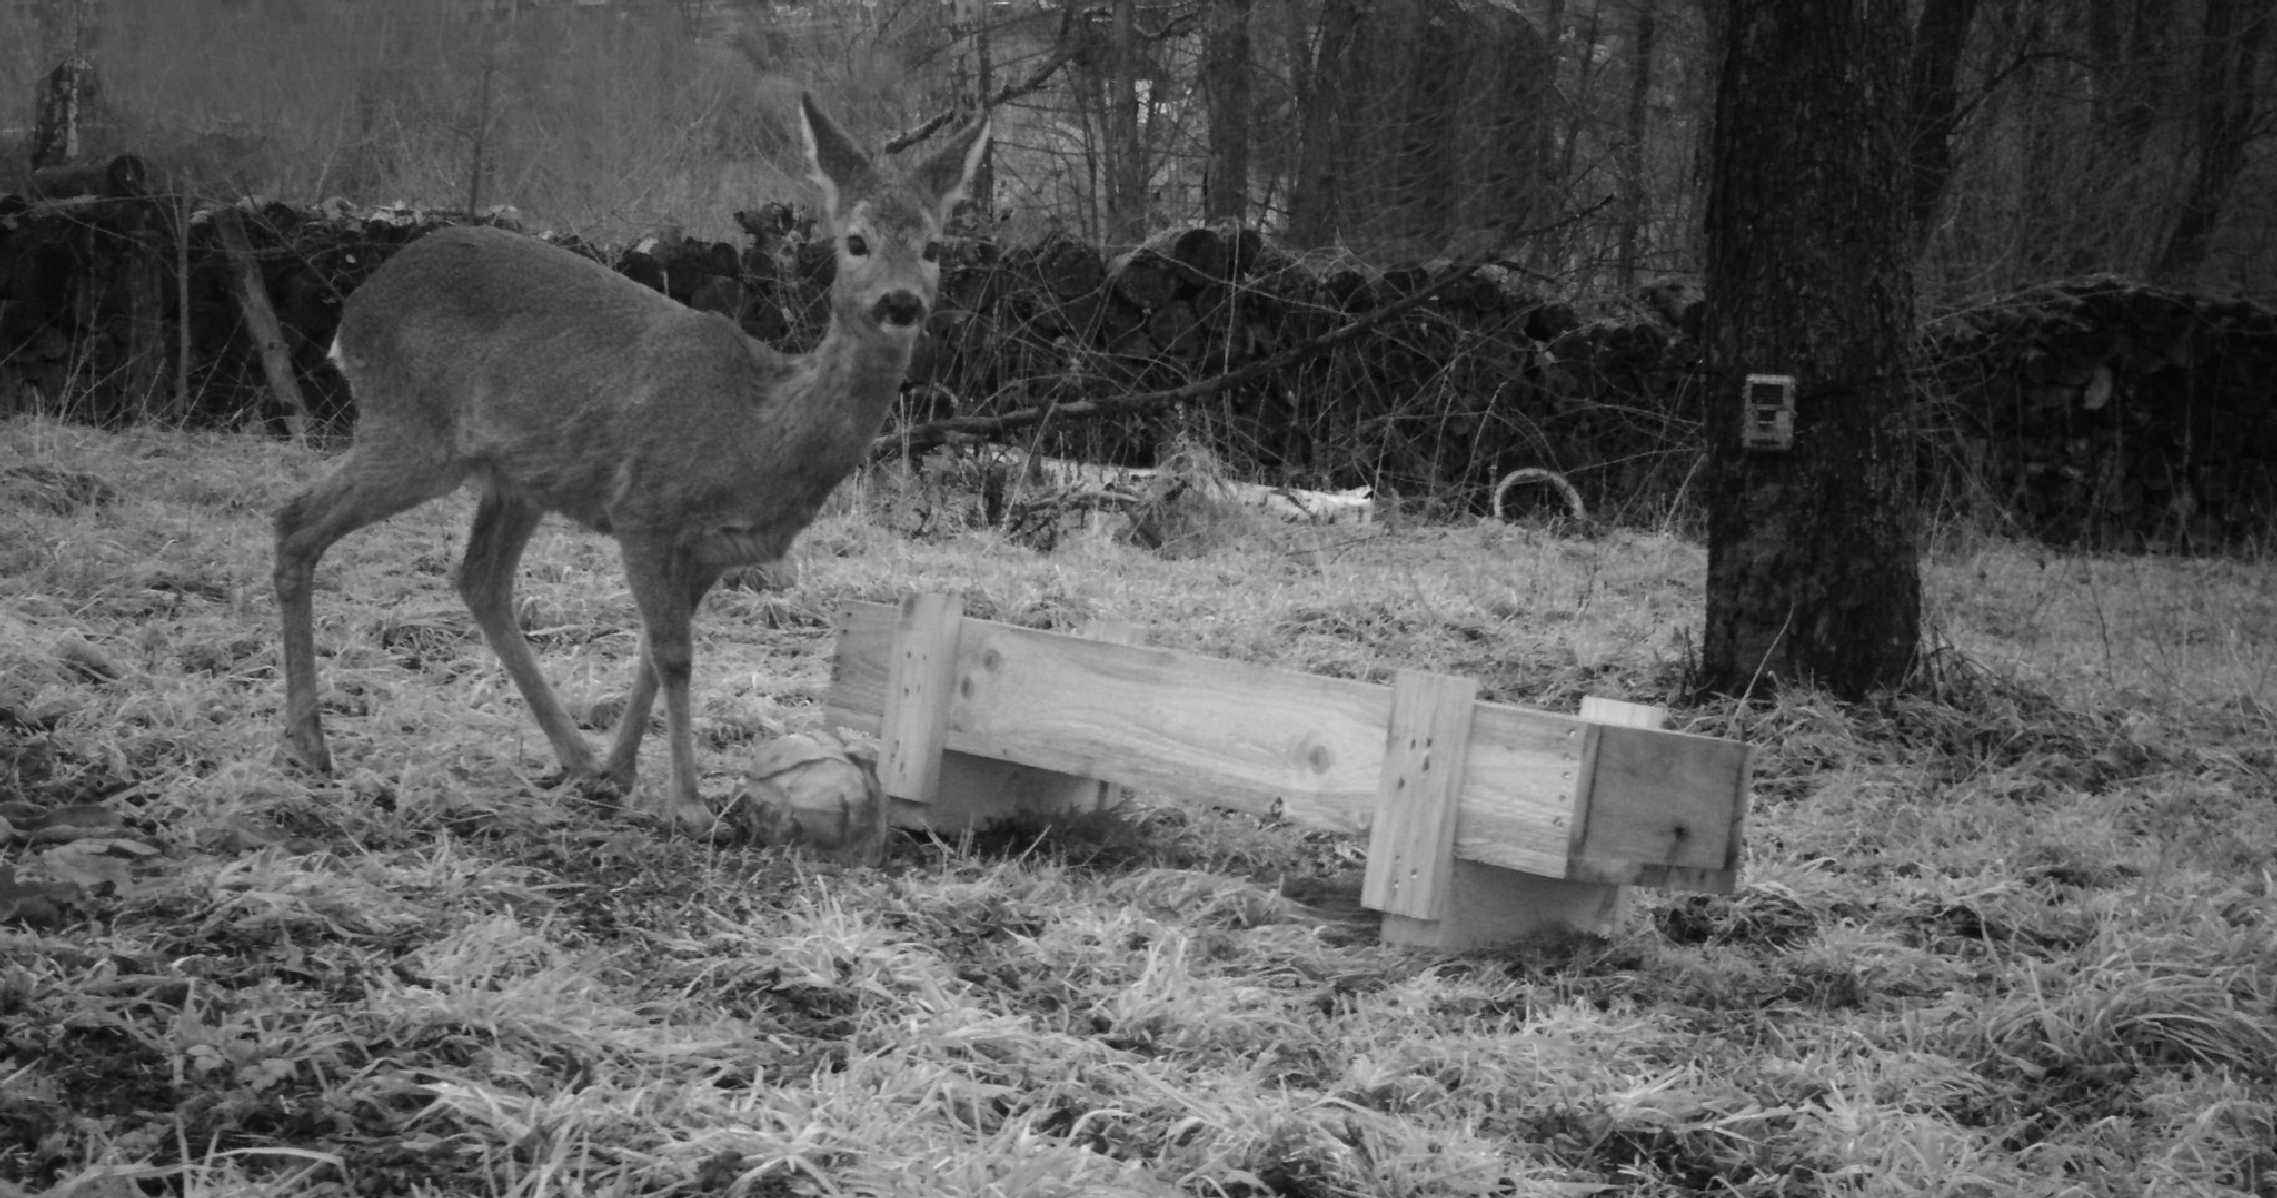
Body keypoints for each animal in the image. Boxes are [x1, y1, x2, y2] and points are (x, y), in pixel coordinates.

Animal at [275, 96, 988, 838]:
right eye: (855, 241)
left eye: (934, 247)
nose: (901, 302)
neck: (757, 431)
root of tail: (354, 311)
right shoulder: (644, 508)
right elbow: (674, 654)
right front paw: (689, 804)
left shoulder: (709, 550)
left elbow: (652, 651)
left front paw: (620, 773)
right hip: (413, 430)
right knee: (296, 521)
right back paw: (311, 746)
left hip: (516, 475)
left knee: (480, 580)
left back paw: (574, 756)